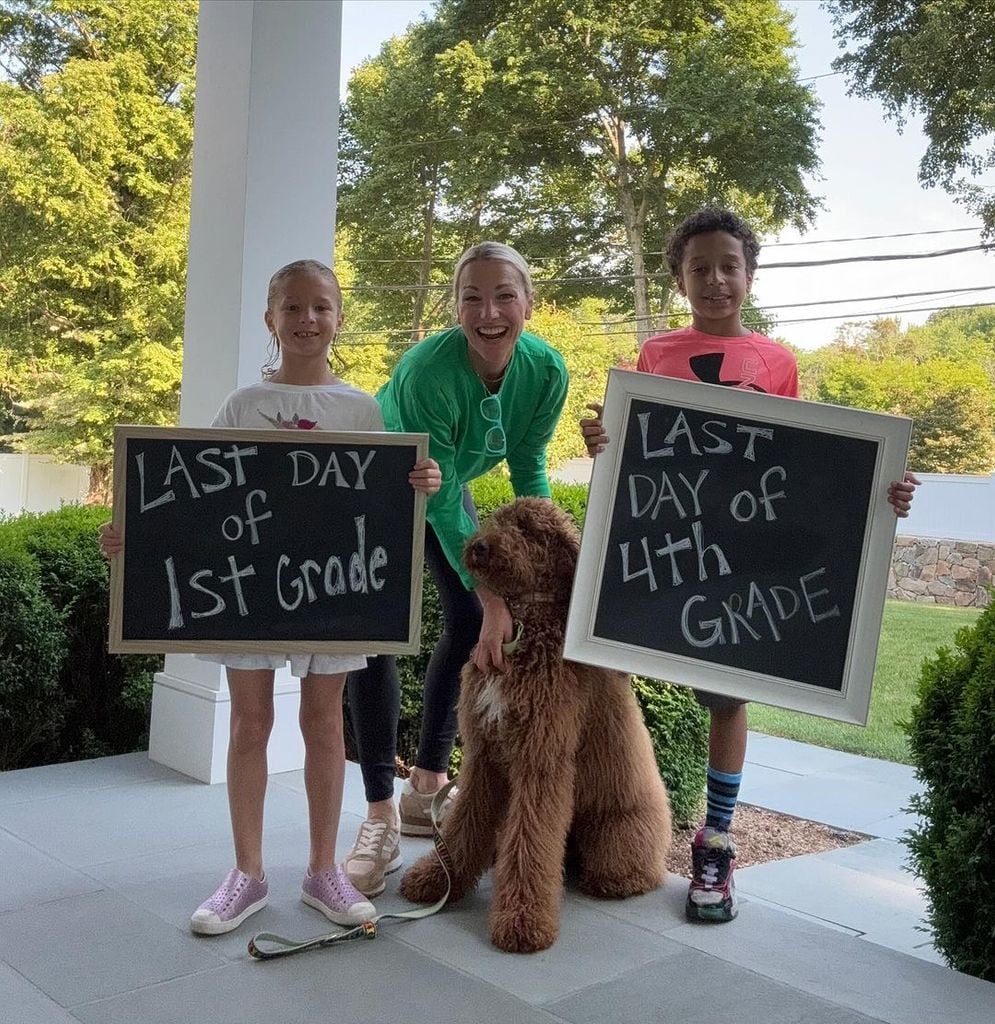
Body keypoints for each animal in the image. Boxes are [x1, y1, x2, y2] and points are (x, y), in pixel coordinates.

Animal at [401, 495, 671, 950]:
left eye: (529, 530)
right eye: (498, 519)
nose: (479, 546)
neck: (522, 632)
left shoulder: (540, 762)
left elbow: (531, 842)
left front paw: (523, 921)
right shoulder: (484, 756)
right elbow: (462, 825)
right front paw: (438, 880)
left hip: (616, 835)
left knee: (627, 872)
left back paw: (614, 881)